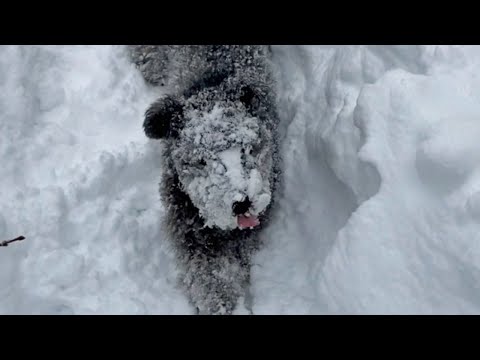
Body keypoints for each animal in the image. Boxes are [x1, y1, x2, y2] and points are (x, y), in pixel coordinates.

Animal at [129, 45, 284, 316]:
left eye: (247, 148)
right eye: (200, 161)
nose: (241, 203)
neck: (209, 88)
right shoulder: (186, 225)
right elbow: (207, 273)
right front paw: (219, 303)